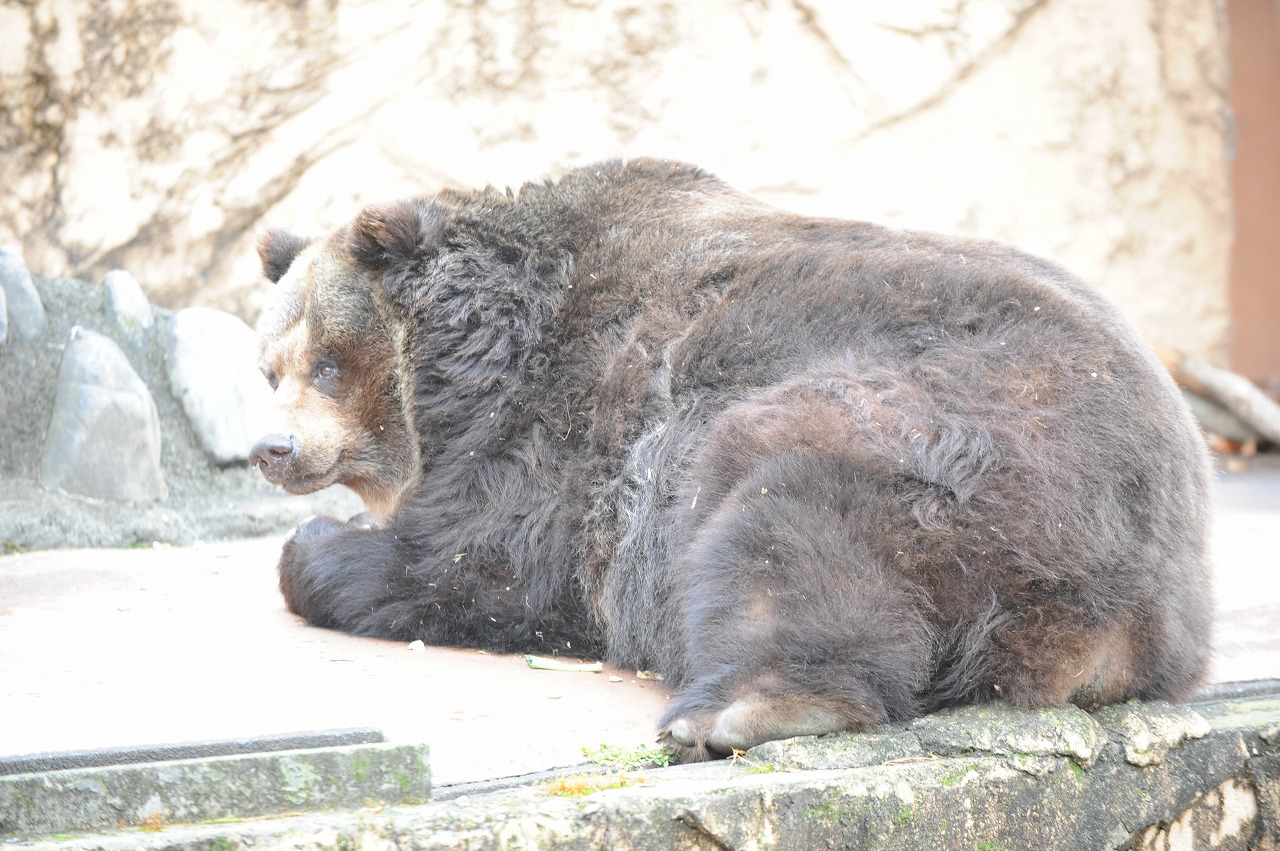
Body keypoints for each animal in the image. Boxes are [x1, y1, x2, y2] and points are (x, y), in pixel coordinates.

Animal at [247, 157, 1208, 757]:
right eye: (268, 368)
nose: (272, 447)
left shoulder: (561, 423)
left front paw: (317, 547)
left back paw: (741, 708)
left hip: (949, 429)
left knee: (780, 512)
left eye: (328, 362)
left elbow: (484, 560)